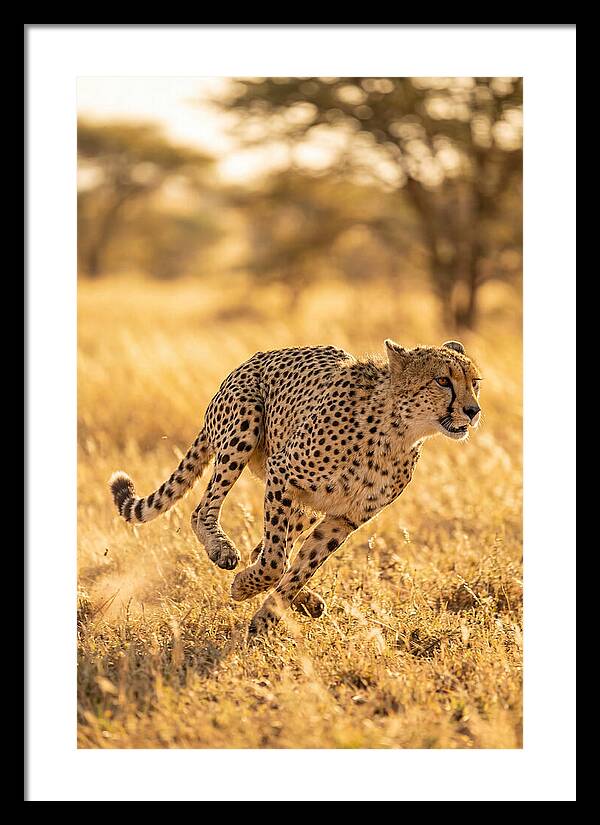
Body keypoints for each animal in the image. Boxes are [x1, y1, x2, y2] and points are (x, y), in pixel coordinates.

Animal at [109, 339, 482, 637]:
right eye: (442, 381)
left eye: (474, 383)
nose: (473, 410)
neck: (398, 432)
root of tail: (252, 360)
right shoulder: (283, 475)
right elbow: (275, 561)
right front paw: (244, 587)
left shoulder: (344, 518)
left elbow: (301, 566)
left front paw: (267, 616)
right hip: (245, 425)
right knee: (204, 511)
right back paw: (222, 549)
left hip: (306, 506)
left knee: (265, 548)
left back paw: (306, 601)